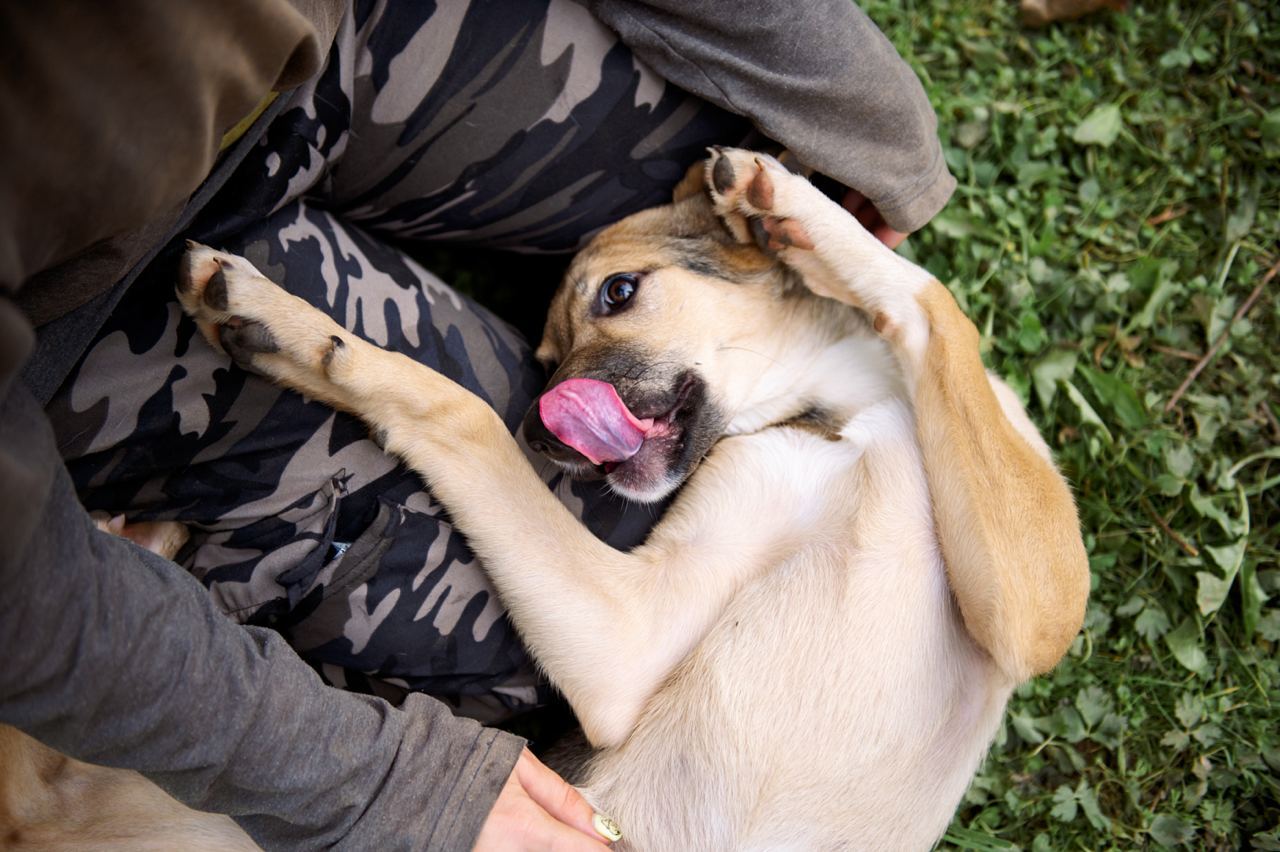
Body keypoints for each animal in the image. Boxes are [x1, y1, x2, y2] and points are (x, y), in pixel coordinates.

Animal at [0, 149, 1090, 844]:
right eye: (546, 355)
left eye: (618, 295)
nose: (543, 431)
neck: (843, 408)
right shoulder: (636, 638)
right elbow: (456, 408)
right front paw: (301, 332)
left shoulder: (1038, 610)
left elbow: (931, 299)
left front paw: (785, 200)